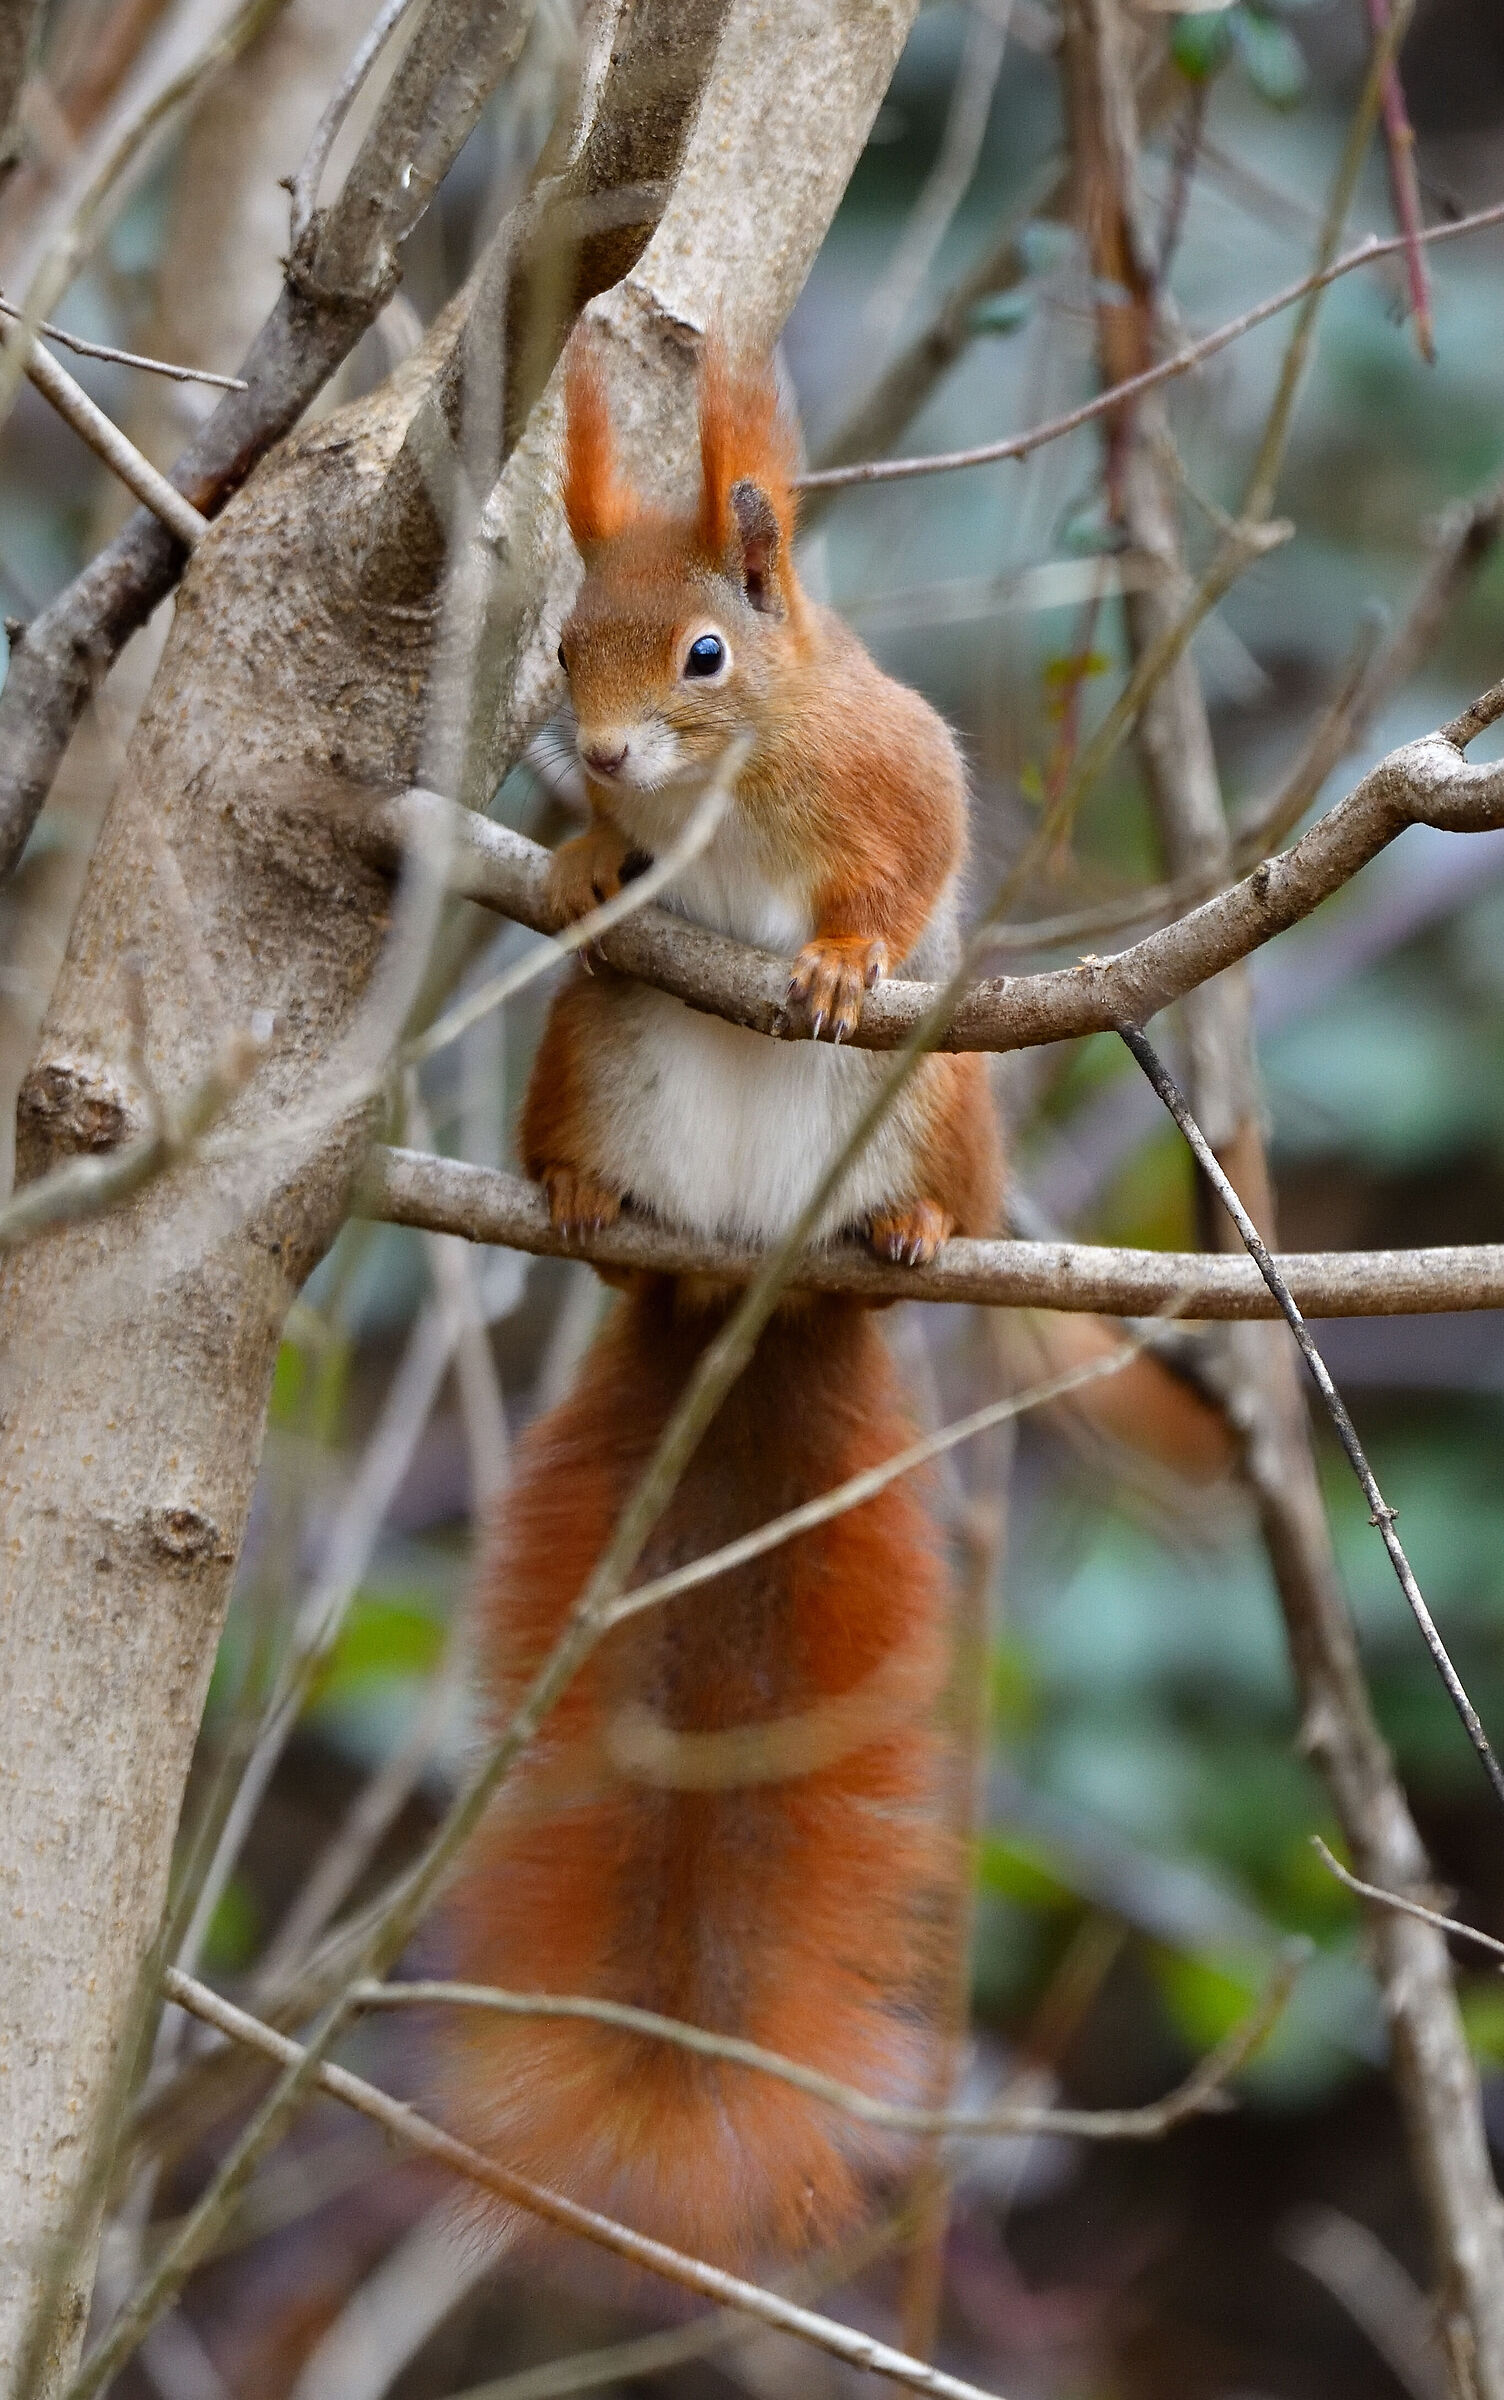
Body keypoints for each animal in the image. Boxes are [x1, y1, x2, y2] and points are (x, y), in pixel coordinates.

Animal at [442, 338, 1226, 2271]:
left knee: (922, 1169)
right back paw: (591, 1209)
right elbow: (600, 869)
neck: (713, 792)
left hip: (929, 1105)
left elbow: (901, 864)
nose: (596, 752)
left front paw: (843, 952)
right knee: (602, 1161)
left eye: (704, 657)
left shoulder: (892, 775)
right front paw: (576, 863)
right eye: (564, 647)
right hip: (594, 1060)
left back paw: (912, 1232)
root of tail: (749, 1281)